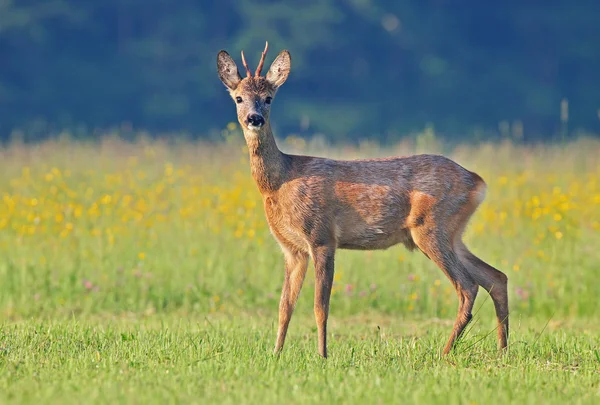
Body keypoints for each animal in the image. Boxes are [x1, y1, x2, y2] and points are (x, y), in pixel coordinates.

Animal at [218, 41, 508, 356]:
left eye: (268, 98)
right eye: (238, 98)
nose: (254, 118)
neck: (279, 182)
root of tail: (477, 181)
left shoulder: (322, 237)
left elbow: (320, 306)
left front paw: (322, 355)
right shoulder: (291, 249)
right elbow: (285, 306)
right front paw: (276, 354)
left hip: (431, 227)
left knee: (468, 286)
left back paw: (445, 352)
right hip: (453, 233)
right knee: (496, 277)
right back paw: (502, 350)